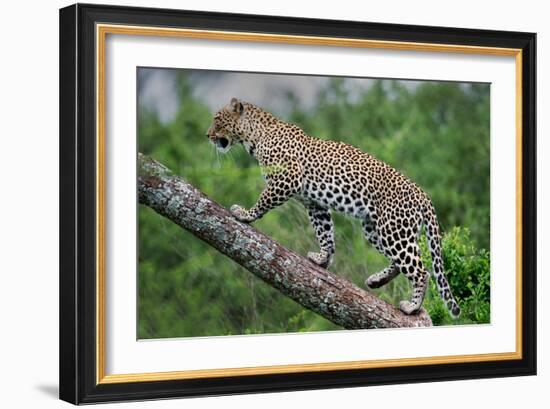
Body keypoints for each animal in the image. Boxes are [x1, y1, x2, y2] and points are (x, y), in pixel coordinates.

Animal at [207, 97, 462, 318]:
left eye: (217, 118)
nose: (207, 135)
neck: (255, 137)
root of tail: (422, 194)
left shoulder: (288, 178)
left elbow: (262, 201)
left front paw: (245, 215)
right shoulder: (315, 203)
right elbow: (325, 233)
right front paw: (322, 259)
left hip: (394, 229)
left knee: (421, 270)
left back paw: (412, 307)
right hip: (376, 229)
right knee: (400, 263)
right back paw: (376, 280)